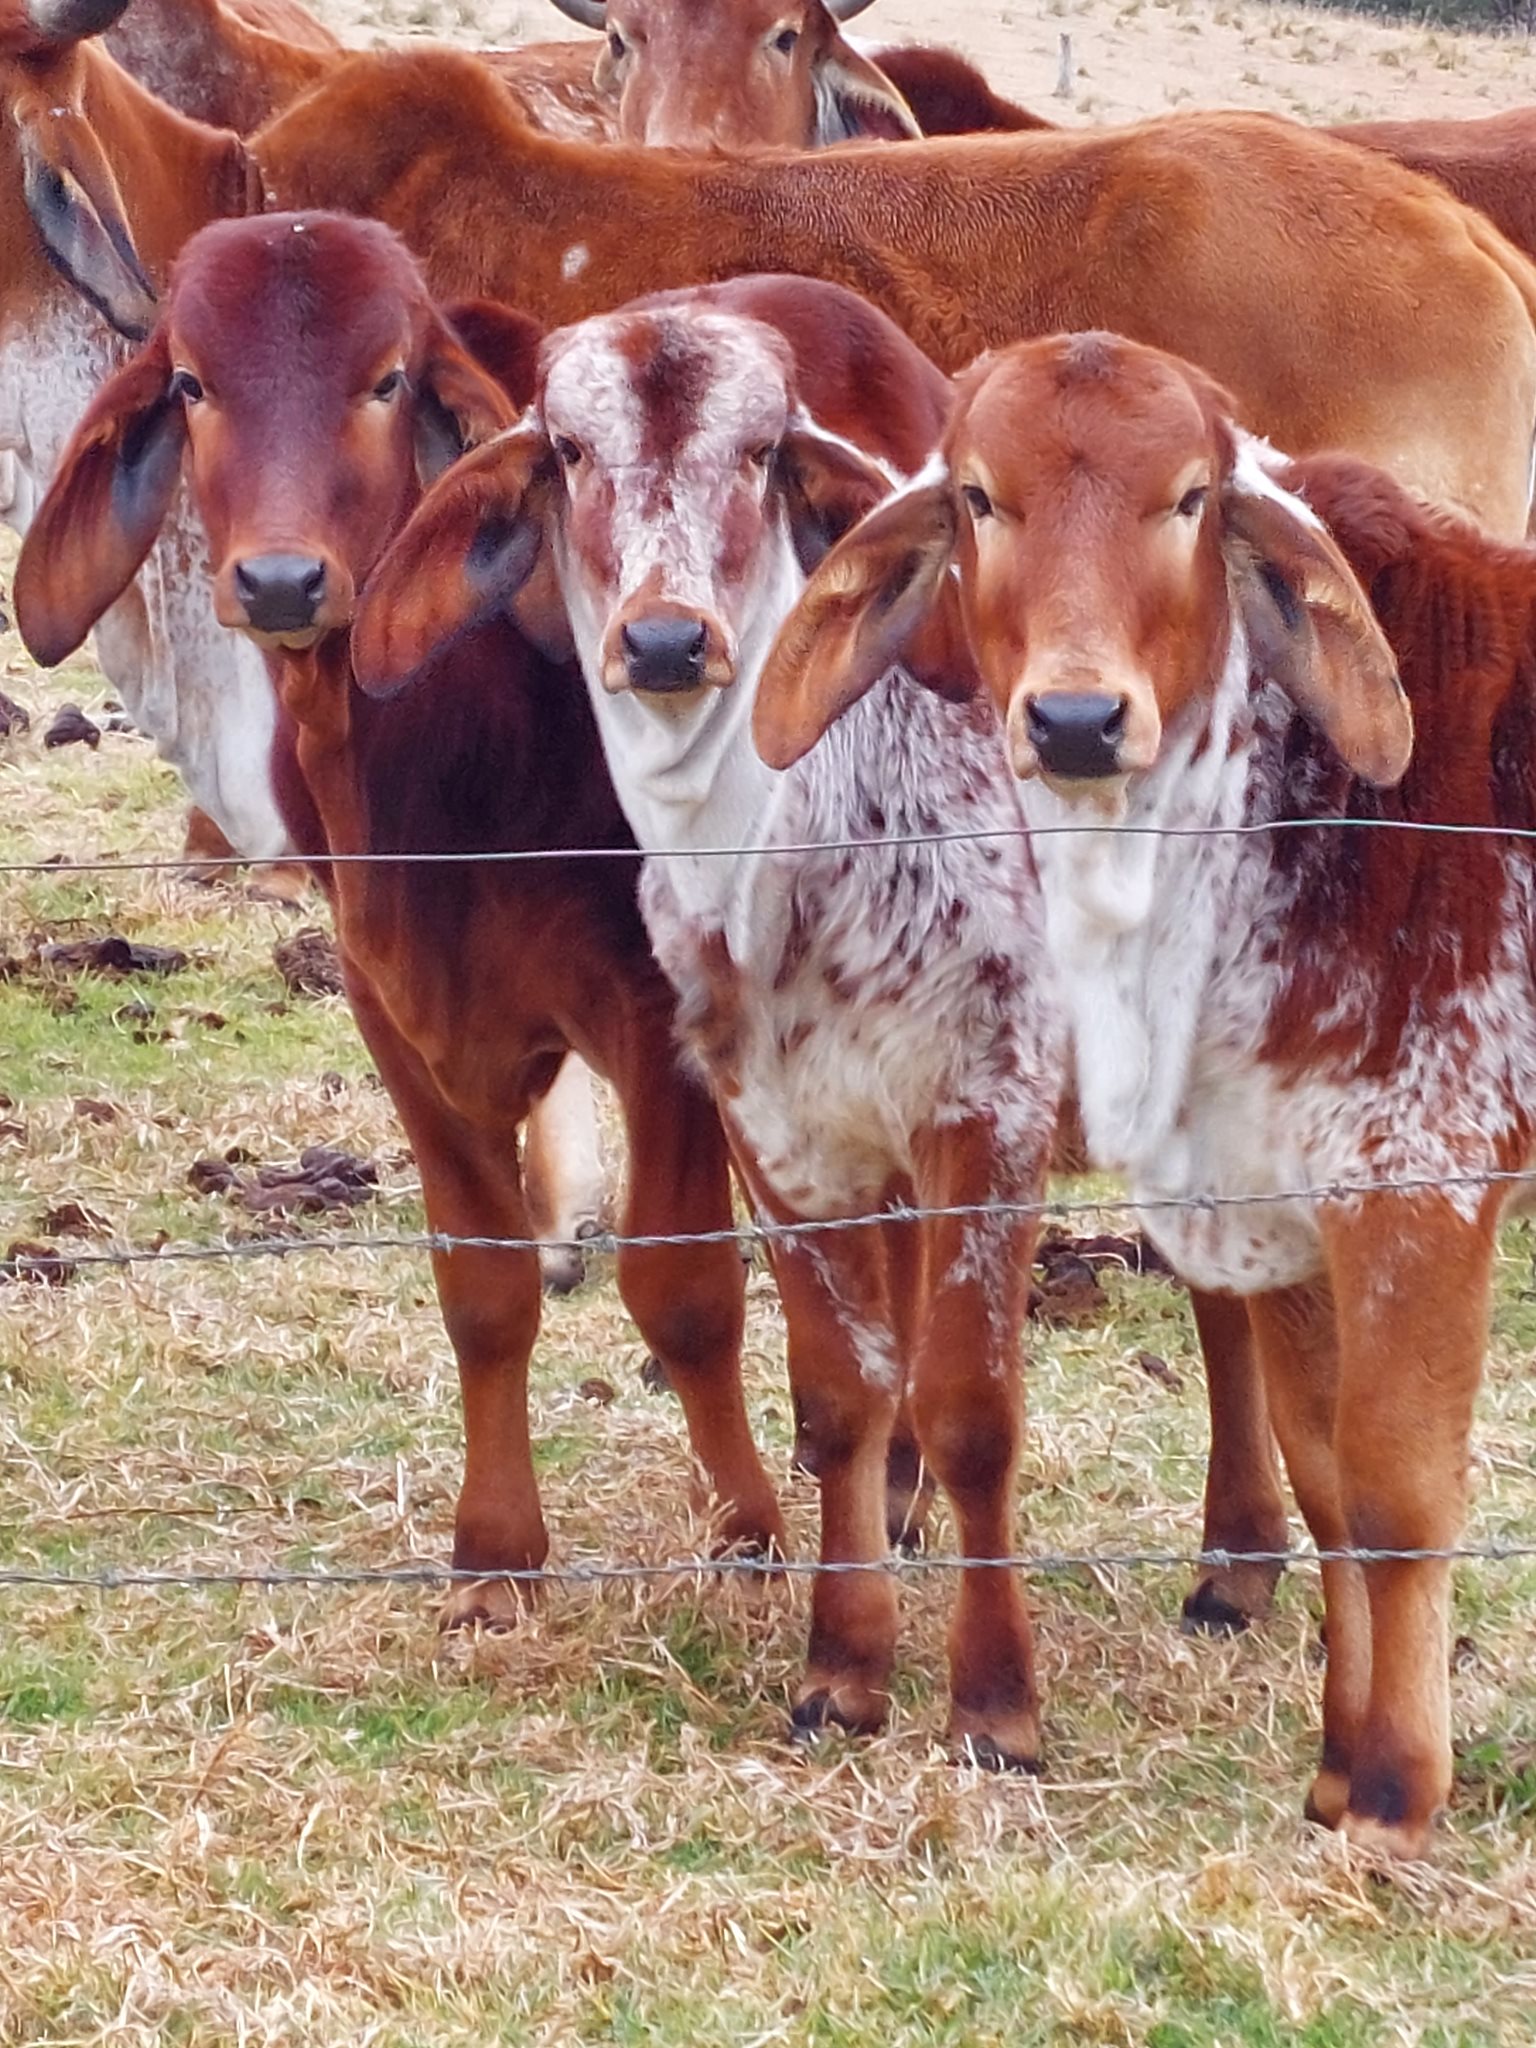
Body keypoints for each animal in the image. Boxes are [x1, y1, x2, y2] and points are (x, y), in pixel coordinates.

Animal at [13, 209, 786, 1622]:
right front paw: (495, 1557)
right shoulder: (394, 1015)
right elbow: (481, 1285)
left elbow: (689, 1283)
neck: (441, 740)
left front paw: (752, 1535)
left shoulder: (662, 1018)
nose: (278, 580)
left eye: (386, 380)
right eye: (192, 382)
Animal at [752, 327, 1536, 1858]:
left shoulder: (1421, 1173)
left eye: (1189, 498)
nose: (1073, 717)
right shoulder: (1278, 1192)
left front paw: (1395, 1796)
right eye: (978, 496)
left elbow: (1401, 1485)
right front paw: (1340, 1765)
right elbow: (1324, 1467)